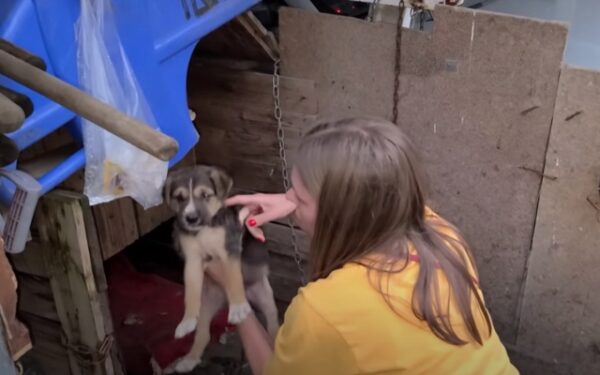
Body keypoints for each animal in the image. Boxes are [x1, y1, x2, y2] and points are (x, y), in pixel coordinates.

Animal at [162, 165, 278, 374]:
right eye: (179, 198)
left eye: (205, 195)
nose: (191, 219)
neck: (205, 229)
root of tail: (224, 301)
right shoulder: (193, 259)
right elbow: (190, 291)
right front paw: (186, 320)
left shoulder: (229, 250)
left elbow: (233, 278)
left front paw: (238, 307)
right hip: (207, 303)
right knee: (203, 334)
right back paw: (190, 359)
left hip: (265, 297)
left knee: (272, 323)